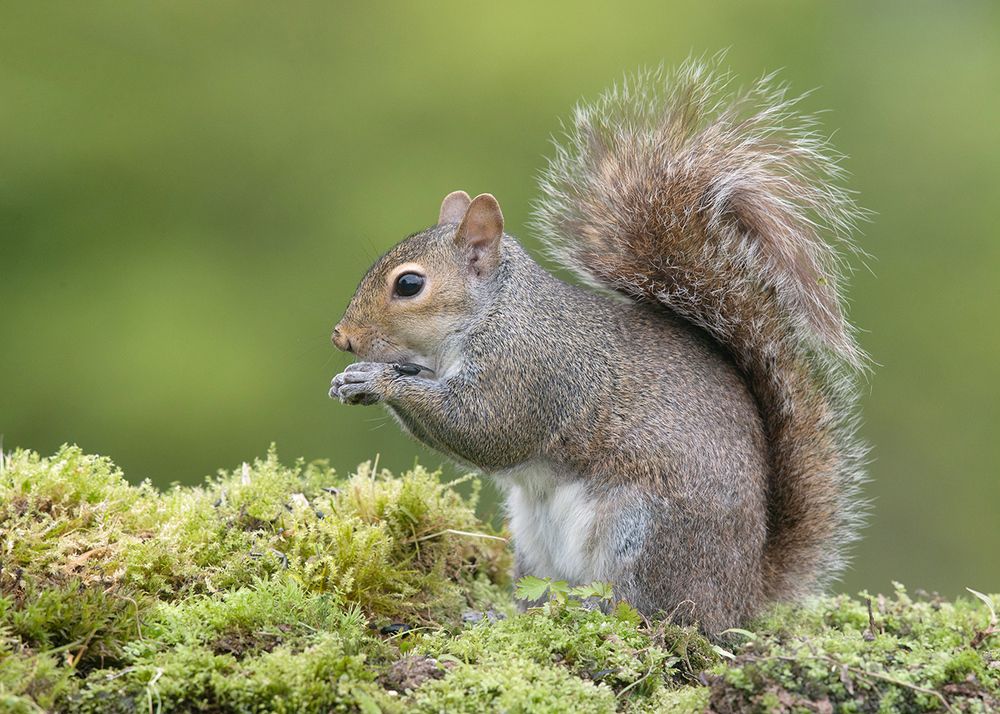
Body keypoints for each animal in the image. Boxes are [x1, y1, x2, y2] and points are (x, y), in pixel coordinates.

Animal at [329, 62, 867, 633]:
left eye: (409, 285)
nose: (342, 337)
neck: (494, 313)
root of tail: (741, 597)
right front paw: (351, 380)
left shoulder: (531, 369)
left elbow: (487, 430)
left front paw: (375, 379)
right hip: (534, 538)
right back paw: (501, 616)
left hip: (643, 533)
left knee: (643, 612)